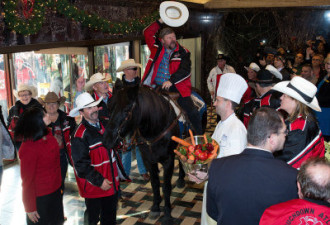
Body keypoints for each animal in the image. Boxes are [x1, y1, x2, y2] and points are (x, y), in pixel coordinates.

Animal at [102, 81, 182, 223]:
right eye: (109, 107)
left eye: (127, 110)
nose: (107, 140)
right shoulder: (148, 159)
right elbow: (155, 183)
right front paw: (156, 207)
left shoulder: (169, 160)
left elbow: (166, 187)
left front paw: (167, 213)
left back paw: (181, 180)